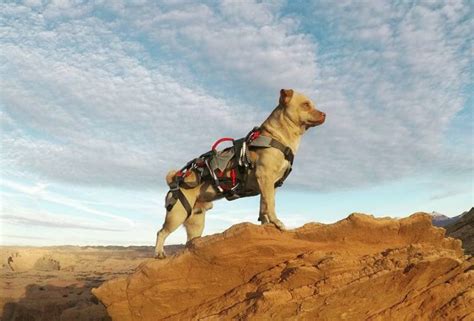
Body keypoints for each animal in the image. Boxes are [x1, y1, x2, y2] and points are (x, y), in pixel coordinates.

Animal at [156, 88, 326, 258]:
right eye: (305, 105)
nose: (324, 114)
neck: (276, 136)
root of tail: (174, 180)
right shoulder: (265, 177)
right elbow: (271, 204)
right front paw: (277, 222)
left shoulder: (270, 185)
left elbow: (264, 206)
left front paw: (266, 224)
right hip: (177, 214)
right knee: (161, 232)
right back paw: (159, 253)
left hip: (196, 220)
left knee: (190, 242)